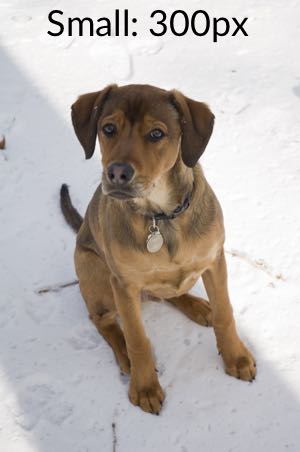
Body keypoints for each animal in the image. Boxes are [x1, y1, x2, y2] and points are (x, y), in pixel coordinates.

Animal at [60, 83, 255, 414]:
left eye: (156, 134)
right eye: (108, 128)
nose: (117, 173)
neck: (160, 216)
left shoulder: (214, 260)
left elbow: (225, 314)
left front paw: (236, 357)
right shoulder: (123, 284)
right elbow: (137, 339)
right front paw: (145, 386)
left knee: (170, 293)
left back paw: (198, 305)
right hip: (96, 276)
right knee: (102, 321)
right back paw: (124, 355)